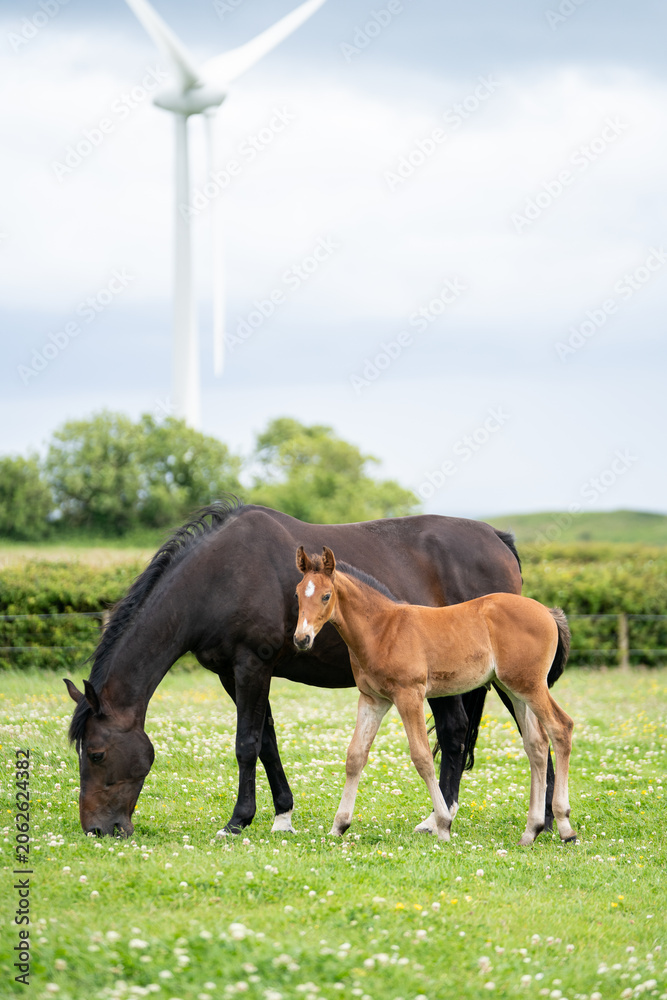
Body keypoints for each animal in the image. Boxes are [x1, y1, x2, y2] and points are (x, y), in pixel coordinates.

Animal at [64, 496, 537, 837]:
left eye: (98, 753)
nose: (97, 830)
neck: (221, 575)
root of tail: (497, 537)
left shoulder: (252, 667)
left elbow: (246, 744)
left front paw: (237, 821)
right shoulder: (232, 674)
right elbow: (267, 741)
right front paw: (282, 817)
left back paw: (534, 822)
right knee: (457, 733)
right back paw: (441, 817)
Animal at [294, 546, 576, 846]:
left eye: (326, 595)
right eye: (298, 594)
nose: (302, 639)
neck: (382, 629)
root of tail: (547, 611)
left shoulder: (409, 694)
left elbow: (423, 757)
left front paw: (442, 823)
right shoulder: (373, 699)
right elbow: (355, 756)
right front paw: (339, 824)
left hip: (530, 686)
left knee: (561, 727)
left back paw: (565, 825)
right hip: (514, 689)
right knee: (536, 744)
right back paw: (531, 830)